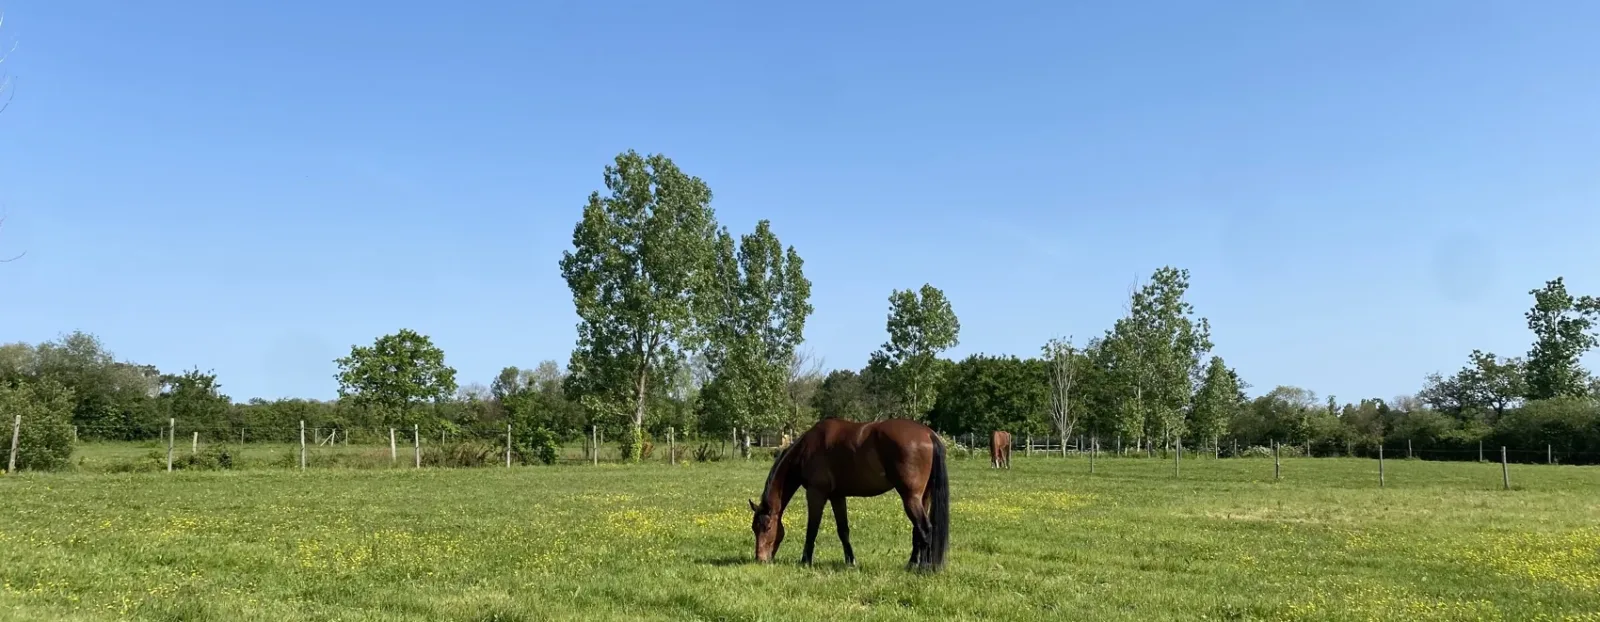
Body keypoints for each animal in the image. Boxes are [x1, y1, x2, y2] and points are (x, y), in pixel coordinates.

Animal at [748, 417, 950, 571]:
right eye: (754, 528)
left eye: (767, 527)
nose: (760, 559)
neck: (807, 448)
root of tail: (928, 434)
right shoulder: (837, 496)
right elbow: (843, 530)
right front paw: (850, 561)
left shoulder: (816, 494)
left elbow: (812, 529)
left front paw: (805, 561)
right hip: (922, 497)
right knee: (918, 530)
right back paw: (912, 564)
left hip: (910, 497)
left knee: (925, 528)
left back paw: (924, 568)